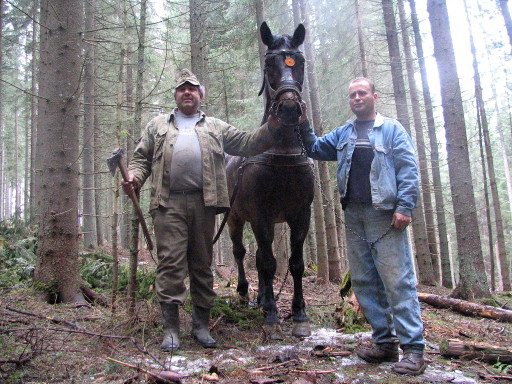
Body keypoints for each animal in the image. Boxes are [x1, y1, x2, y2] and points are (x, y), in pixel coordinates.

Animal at [225, 21, 314, 340]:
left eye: (299, 62)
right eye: (268, 64)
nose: (288, 108)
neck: (282, 153)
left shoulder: (301, 215)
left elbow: (295, 264)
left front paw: (299, 314)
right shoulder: (260, 215)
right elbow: (267, 261)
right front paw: (273, 318)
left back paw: (264, 297)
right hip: (236, 219)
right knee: (243, 253)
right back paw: (246, 293)